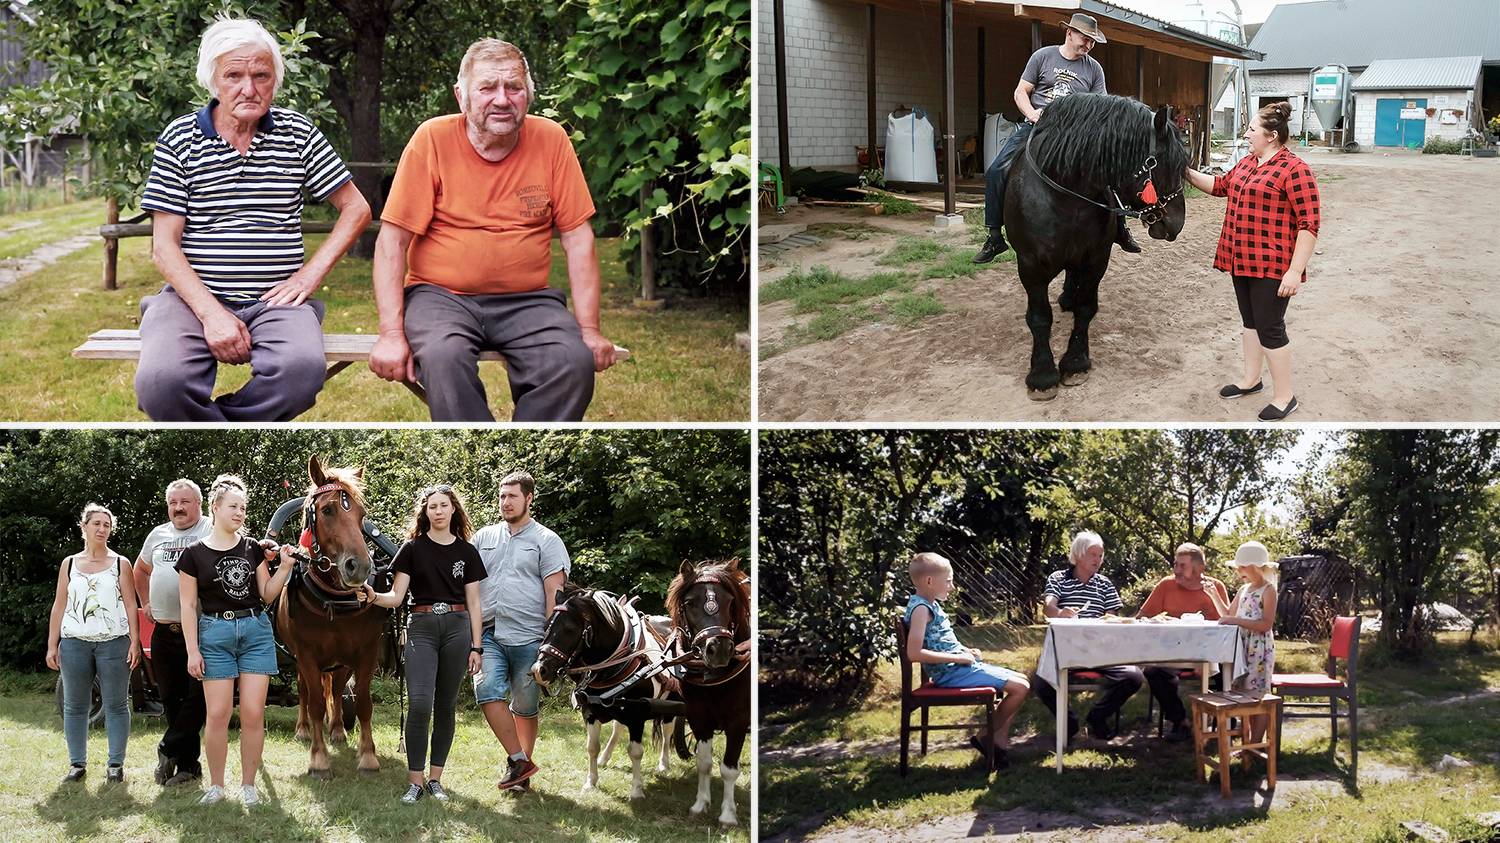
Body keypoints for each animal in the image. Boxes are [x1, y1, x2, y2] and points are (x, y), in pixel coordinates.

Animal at [268, 456, 390, 780]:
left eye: (361, 514)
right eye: (327, 510)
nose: (359, 567)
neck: (333, 601)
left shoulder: (366, 653)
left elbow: (363, 702)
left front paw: (368, 756)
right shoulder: (307, 655)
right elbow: (315, 704)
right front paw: (319, 759)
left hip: (340, 662)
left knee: (335, 688)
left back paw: (336, 731)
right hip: (302, 660)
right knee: (304, 691)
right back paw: (303, 730)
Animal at [531, 582, 684, 798]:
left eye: (570, 629)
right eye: (546, 627)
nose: (539, 670)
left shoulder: (636, 714)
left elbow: (635, 751)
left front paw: (636, 789)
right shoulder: (591, 712)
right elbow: (592, 747)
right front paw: (591, 782)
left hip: (671, 700)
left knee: (667, 729)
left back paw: (664, 763)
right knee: (618, 727)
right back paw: (605, 757)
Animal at [669, 555, 750, 822]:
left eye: (730, 601)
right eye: (689, 602)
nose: (719, 649)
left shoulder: (739, 720)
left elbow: (729, 767)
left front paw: (727, 815)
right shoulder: (697, 717)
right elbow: (704, 763)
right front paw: (700, 804)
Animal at [1008, 90, 1194, 399]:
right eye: (1166, 165)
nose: (1176, 223)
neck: (1066, 197)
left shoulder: (1096, 258)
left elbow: (1085, 307)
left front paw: (1075, 363)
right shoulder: (1030, 266)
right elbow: (1039, 317)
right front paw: (1042, 374)